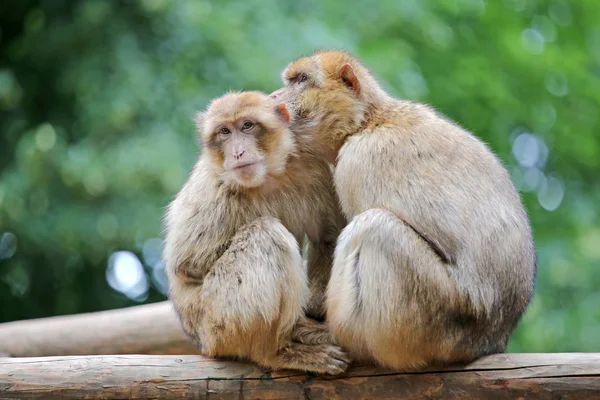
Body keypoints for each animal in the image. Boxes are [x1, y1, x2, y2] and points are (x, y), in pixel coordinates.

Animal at [163, 90, 352, 376]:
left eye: (247, 126)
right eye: (225, 132)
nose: (238, 152)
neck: (268, 176)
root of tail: (202, 343)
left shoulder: (313, 165)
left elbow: (326, 239)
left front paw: (314, 310)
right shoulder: (213, 186)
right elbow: (188, 265)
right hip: (217, 322)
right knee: (266, 233)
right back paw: (276, 353)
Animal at [270, 50, 536, 372]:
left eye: (301, 80)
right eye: (290, 81)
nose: (274, 97)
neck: (367, 122)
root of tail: (491, 338)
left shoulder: (356, 161)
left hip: (432, 318)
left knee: (374, 228)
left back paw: (340, 336)